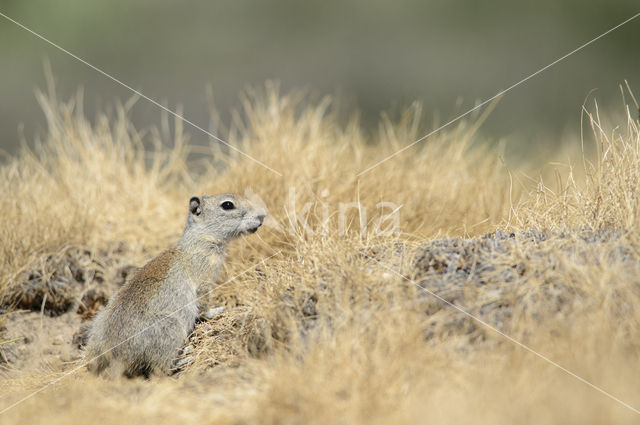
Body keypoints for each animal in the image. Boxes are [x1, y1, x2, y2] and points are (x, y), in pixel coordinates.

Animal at [85, 194, 264, 376]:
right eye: (227, 205)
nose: (261, 217)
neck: (201, 237)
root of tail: (114, 357)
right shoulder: (204, 281)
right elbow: (204, 306)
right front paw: (217, 310)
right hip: (172, 330)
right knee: (162, 368)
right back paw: (185, 356)